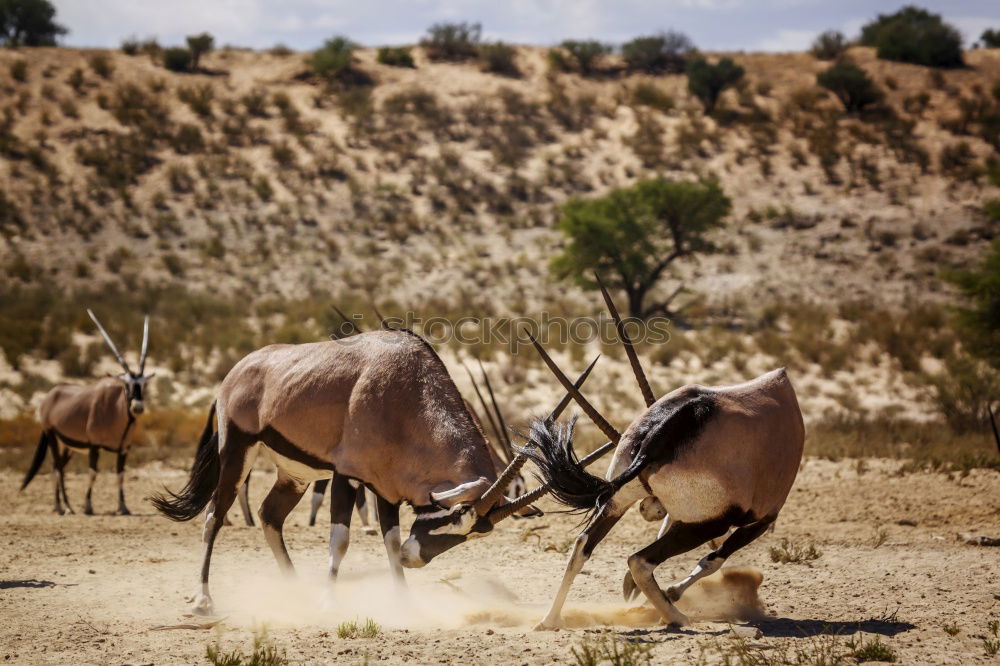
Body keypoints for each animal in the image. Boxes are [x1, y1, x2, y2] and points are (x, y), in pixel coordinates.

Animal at [21, 308, 152, 516]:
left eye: (143, 384)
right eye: (126, 384)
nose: (137, 407)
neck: (115, 409)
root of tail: (50, 396)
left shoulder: (124, 449)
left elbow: (120, 475)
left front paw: (123, 507)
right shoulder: (94, 446)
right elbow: (93, 474)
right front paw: (88, 506)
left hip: (66, 446)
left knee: (55, 467)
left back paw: (58, 505)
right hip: (51, 436)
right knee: (58, 468)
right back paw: (67, 506)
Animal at [152, 326, 596, 612]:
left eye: (473, 533)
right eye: (451, 515)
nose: (415, 559)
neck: (408, 396)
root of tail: (239, 369)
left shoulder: (386, 489)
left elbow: (389, 539)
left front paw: (402, 600)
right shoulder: (348, 476)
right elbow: (341, 539)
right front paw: (329, 600)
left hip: (295, 475)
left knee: (269, 515)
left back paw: (293, 591)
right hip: (237, 452)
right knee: (215, 515)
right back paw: (203, 598)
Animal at [516, 276, 804, 628]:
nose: (648, 510)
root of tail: (666, 426)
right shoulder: (759, 519)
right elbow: (713, 560)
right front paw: (671, 592)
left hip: (618, 501)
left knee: (583, 545)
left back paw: (550, 620)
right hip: (710, 523)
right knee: (641, 560)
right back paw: (677, 616)